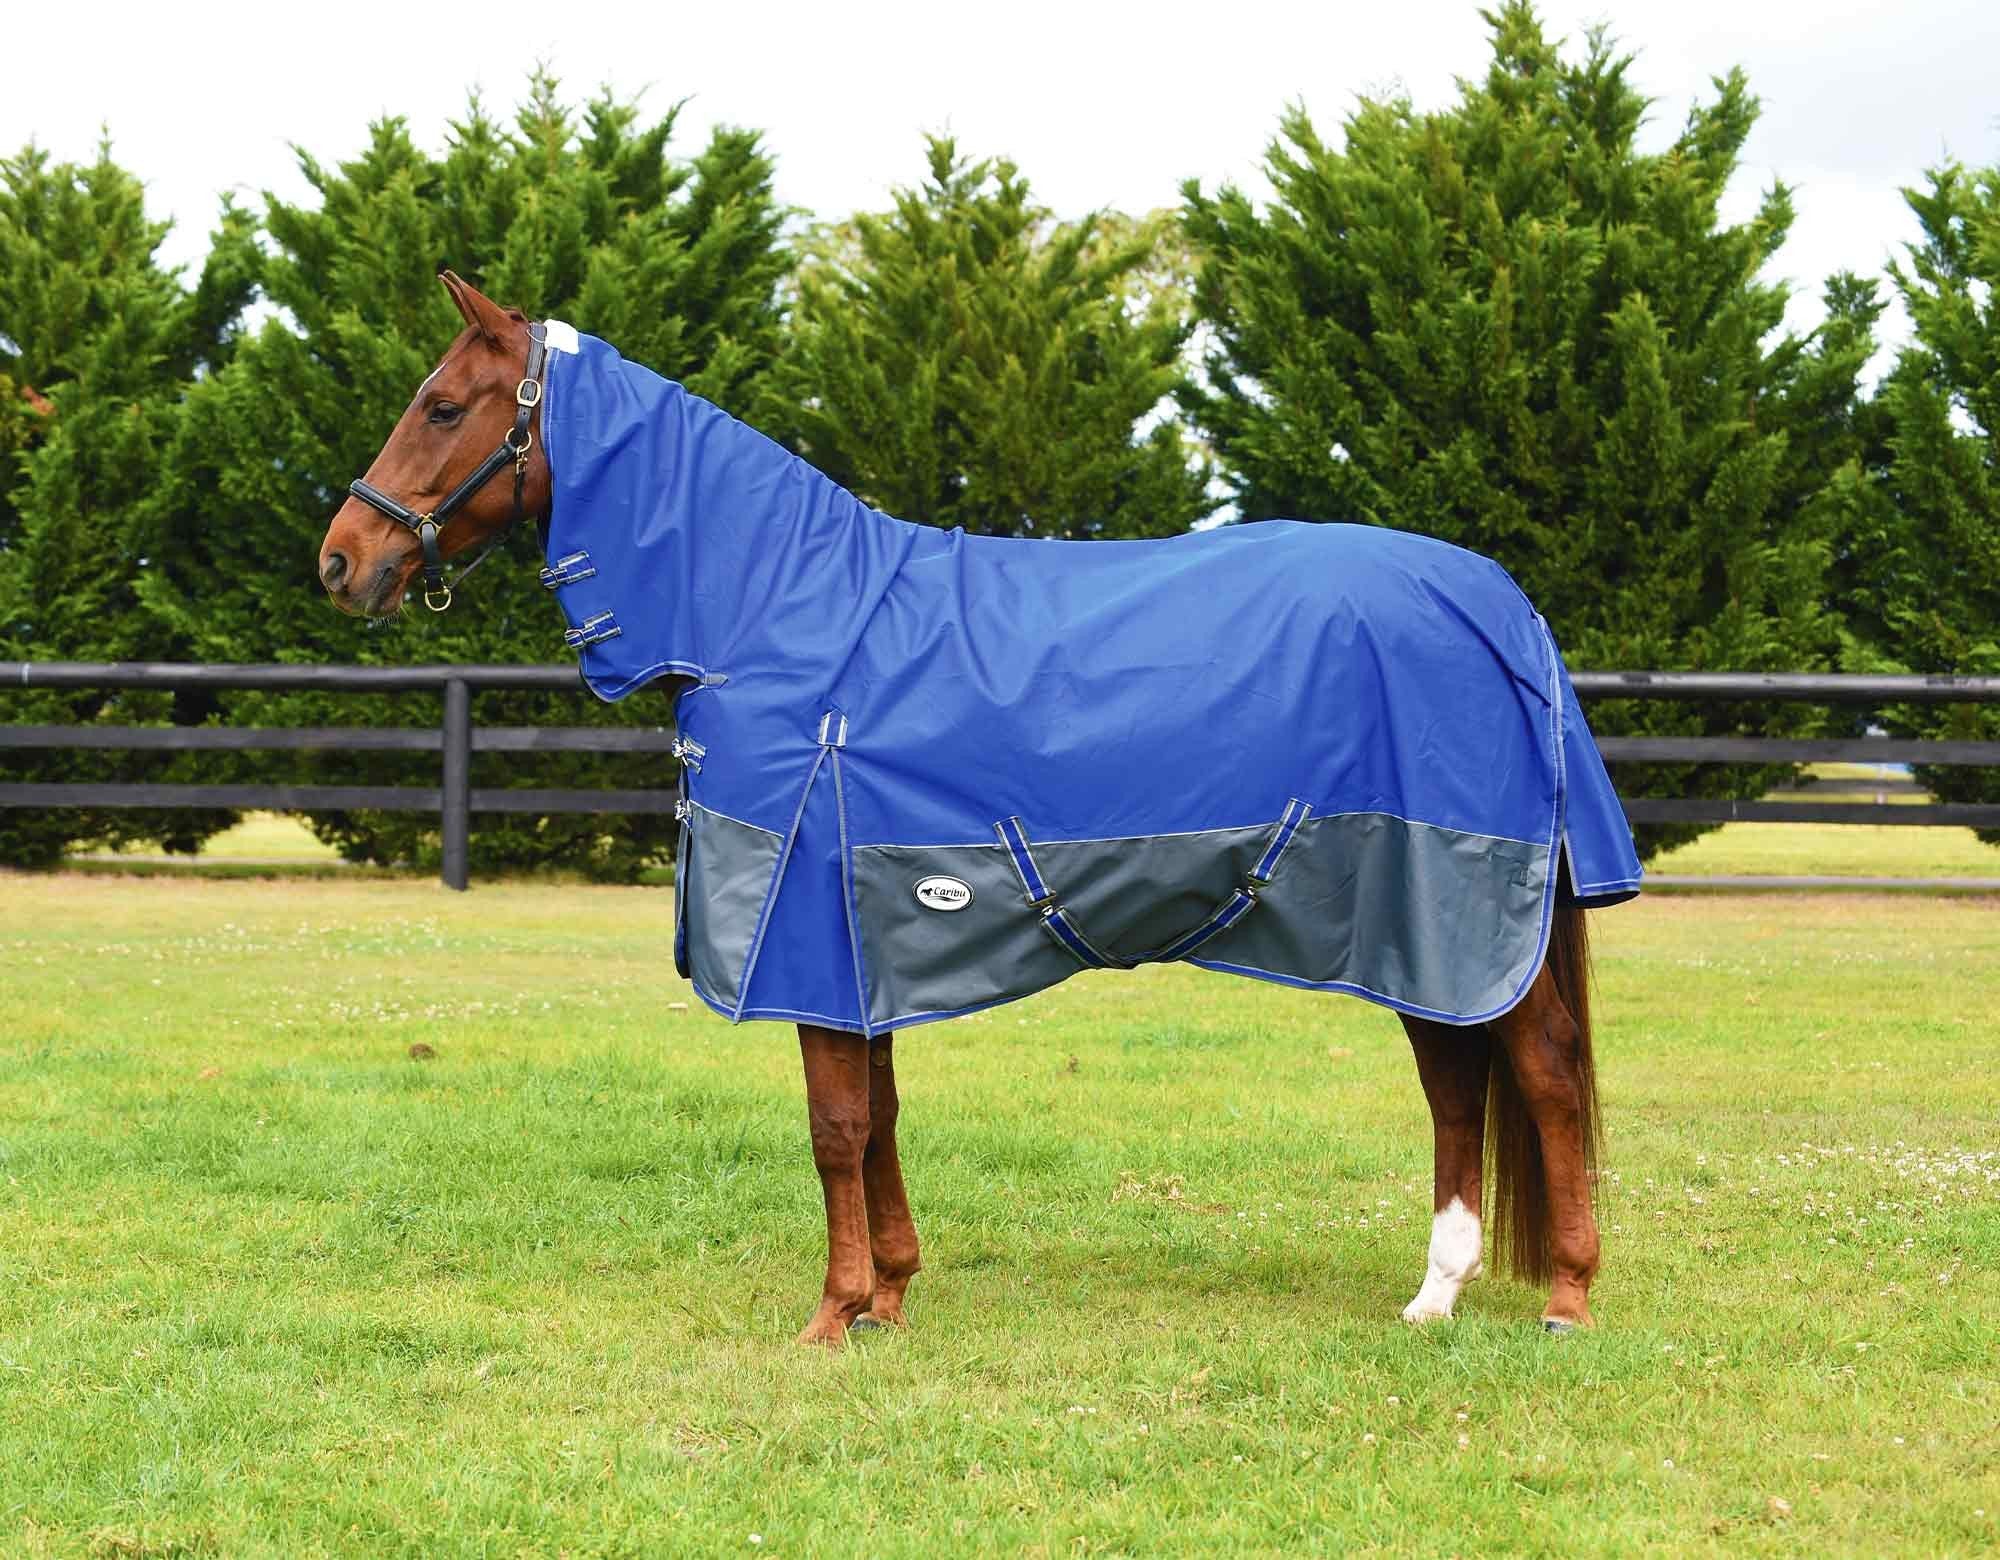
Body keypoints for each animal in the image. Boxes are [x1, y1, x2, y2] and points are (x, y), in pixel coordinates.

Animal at [318, 271, 1640, 1344]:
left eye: (443, 407)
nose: (341, 561)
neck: (778, 613)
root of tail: (1501, 605)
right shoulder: (860, 945)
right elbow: (880, 1116)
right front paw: (891, 1295)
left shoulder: (807, 933)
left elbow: (834, 1127)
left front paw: (832, 1314)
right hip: (1414, 931)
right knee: (1454, 1081)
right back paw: (1434, 1295)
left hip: (1464, 907)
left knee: (1540, 1074)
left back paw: (1568, 1297)